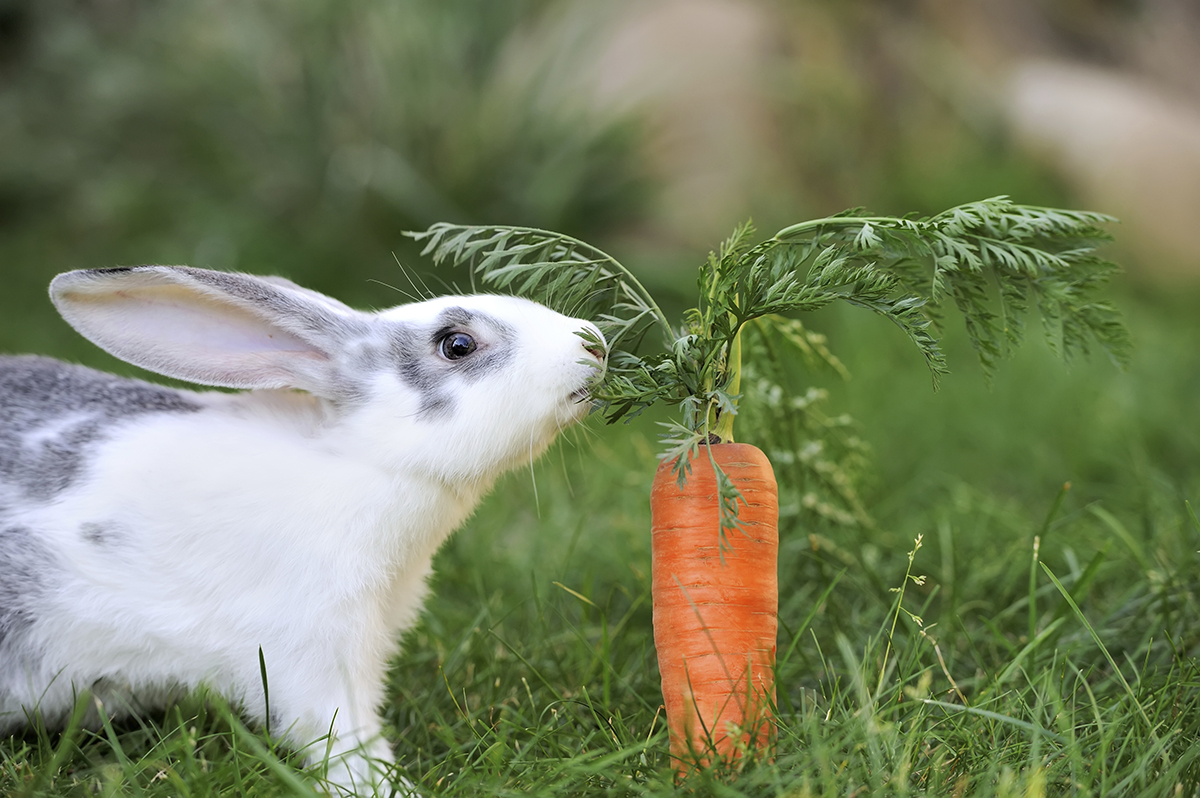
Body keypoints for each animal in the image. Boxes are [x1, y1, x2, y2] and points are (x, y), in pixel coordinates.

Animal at [0, 264, 600, 792]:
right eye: (457, 344)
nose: (594, 344)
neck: (362, 460)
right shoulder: (312, 650)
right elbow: (342, 734)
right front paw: (386, 788)